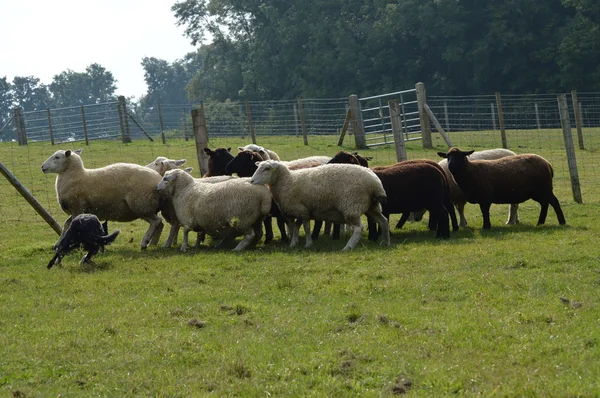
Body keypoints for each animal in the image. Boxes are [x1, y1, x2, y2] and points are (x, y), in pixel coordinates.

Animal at [248, 160, 390, 250]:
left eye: (267, 169)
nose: (252, 181)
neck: (287, 181)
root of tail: (376, 183)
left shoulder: (302, 210)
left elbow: (306, 228)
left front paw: (308, 244)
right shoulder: (294, 211)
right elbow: (294, 228)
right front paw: (293, 244)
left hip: (351, 205)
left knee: (358, 227)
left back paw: (348, 247)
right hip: (372, 206)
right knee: (384, 221)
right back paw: (384, 242)